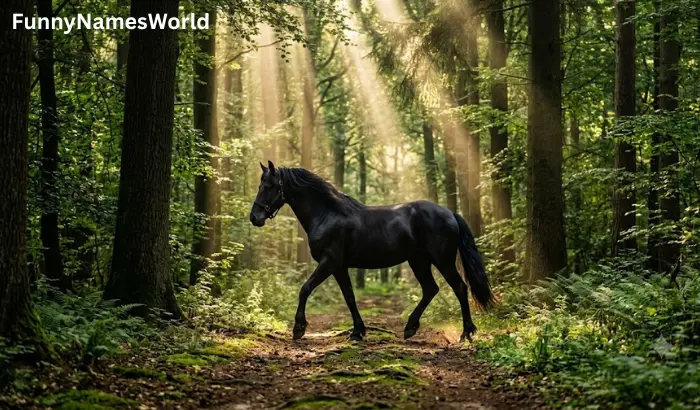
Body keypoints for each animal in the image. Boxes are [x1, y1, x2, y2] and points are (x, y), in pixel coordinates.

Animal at [249, 161, 494, 342]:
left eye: (269, 186)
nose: (255, 217)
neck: (327, 214)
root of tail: (450, 213)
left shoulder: (329, 262)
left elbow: (305, 289)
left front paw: (299, 328)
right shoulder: (339, 267)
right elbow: (349, 297)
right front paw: (358, 332)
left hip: (442, 260)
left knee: (459, 288)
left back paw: (466, 332)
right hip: (418, 261)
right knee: (430, 289)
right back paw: (410, 327)